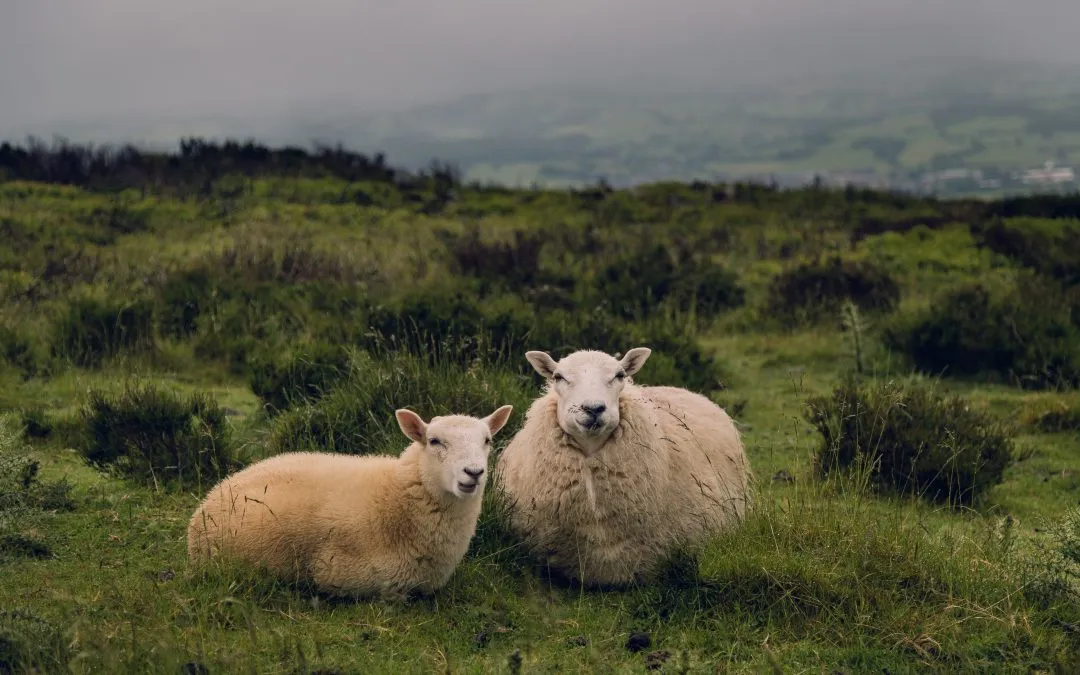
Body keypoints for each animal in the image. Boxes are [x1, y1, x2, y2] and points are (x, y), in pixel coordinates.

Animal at [187, 404, 514, 601]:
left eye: (487, 440)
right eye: (434, 441)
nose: (474, 472)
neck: (398, 498)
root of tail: (214, 493)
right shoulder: (349, 576)